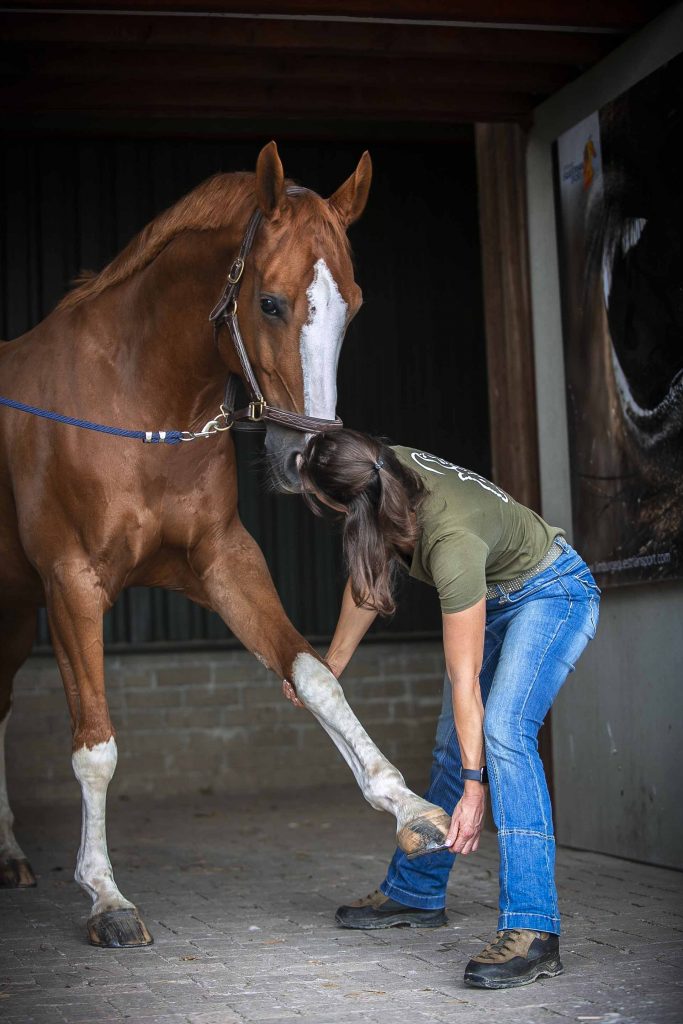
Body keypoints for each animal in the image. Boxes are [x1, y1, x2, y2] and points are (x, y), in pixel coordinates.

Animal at [0, 142, 451, 948]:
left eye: (354, 304)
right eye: (269, 302)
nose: (304, 459)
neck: (137, 401)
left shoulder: (224, 562)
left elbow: (314, 676)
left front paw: (411, 809)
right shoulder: (71, 582)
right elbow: (96, 747)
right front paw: (106, 896)